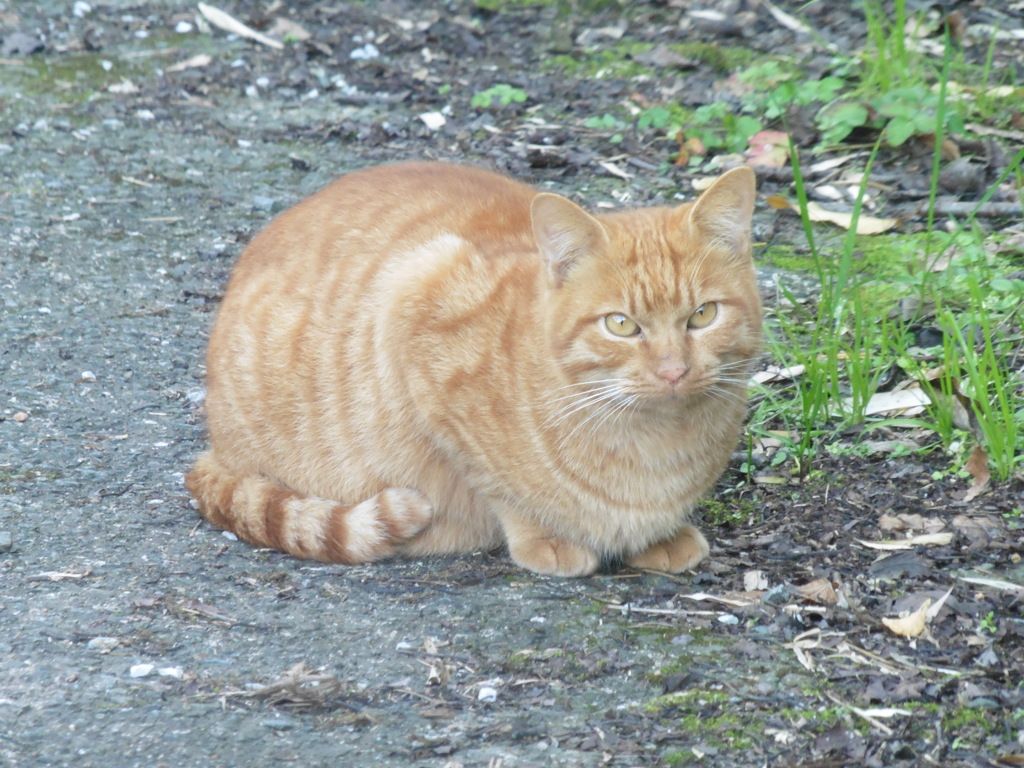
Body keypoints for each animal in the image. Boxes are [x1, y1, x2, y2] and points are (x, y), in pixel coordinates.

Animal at [186, 159, 761, 573]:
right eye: (620, 325)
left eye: (703, 315)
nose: (672, 371)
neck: (657, 446)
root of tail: (213, 447)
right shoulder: (417, 307)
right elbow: (498, 485)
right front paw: (546, 536)